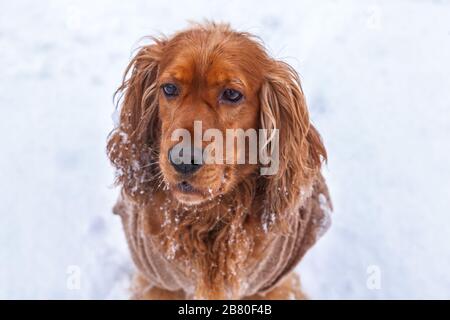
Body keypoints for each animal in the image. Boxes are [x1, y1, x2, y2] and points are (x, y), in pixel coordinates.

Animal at [107, 22, 332, 300]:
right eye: (169, 88)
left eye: (232, 94)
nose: (183, 160)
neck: (208, 218)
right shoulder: (160, 283)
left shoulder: (271, 286)